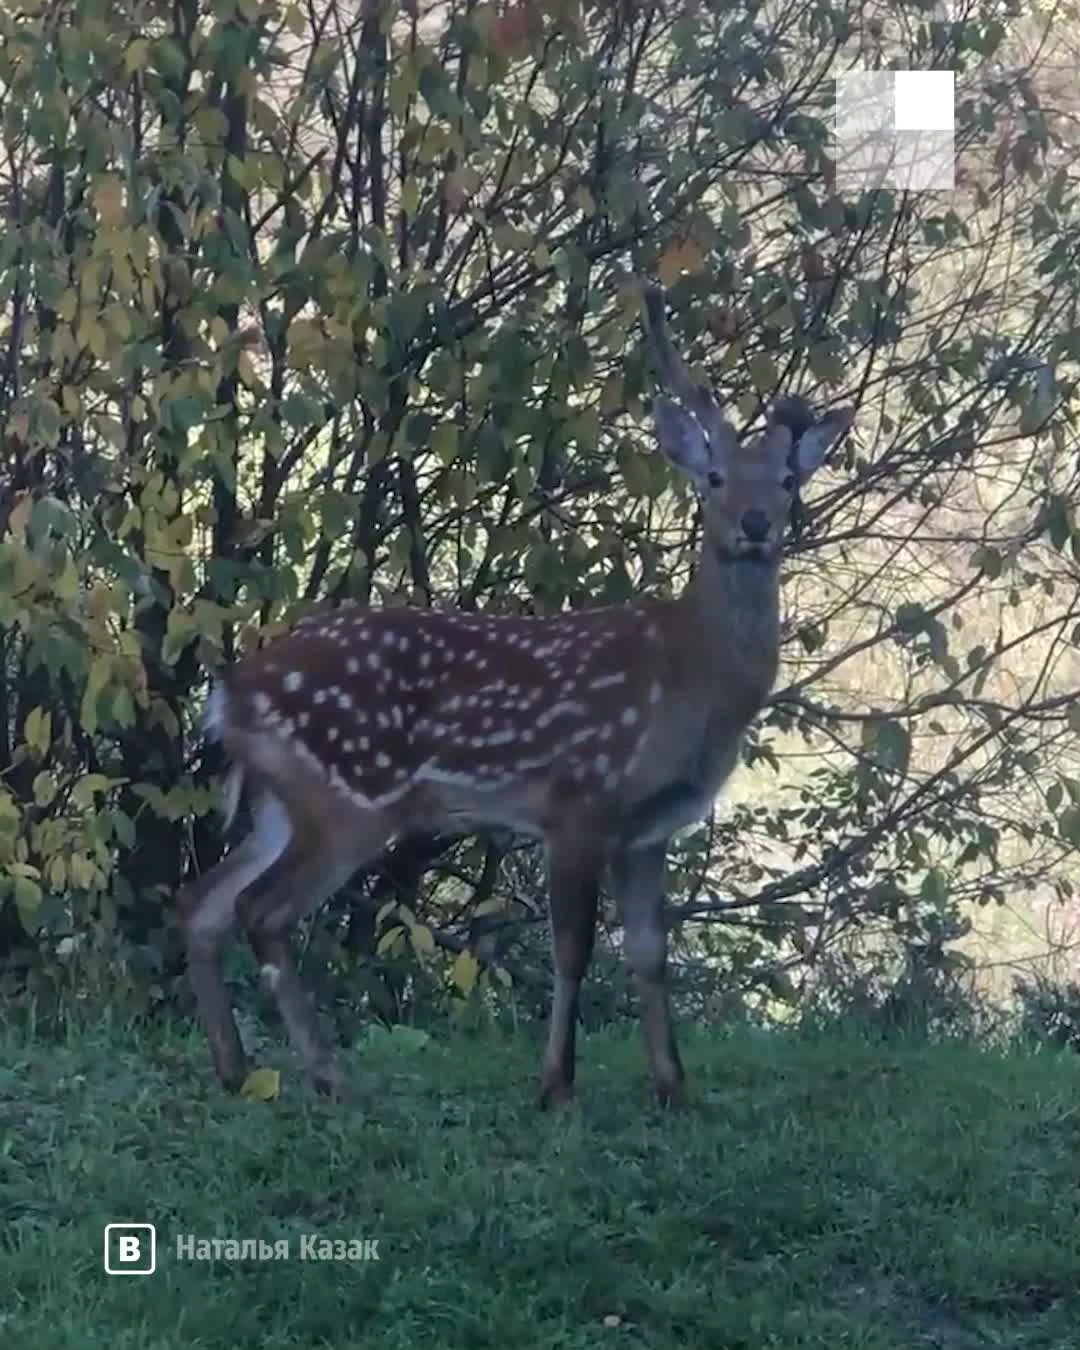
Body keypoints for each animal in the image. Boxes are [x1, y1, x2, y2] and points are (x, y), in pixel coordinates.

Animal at [176, 284, 853, 1107]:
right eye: (715, 476)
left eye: (787, 481)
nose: (756, 522)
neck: (689, 678)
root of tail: (231, 695)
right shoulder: (578, 798)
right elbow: (573, 949)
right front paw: (557, 1082)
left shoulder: (650, 827)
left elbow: (649, 952)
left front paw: (672, 1085)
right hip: (353, 798)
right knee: (261, 911)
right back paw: (328, 1072)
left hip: (284, 798)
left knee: (204, 901)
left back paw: (236, 1068)